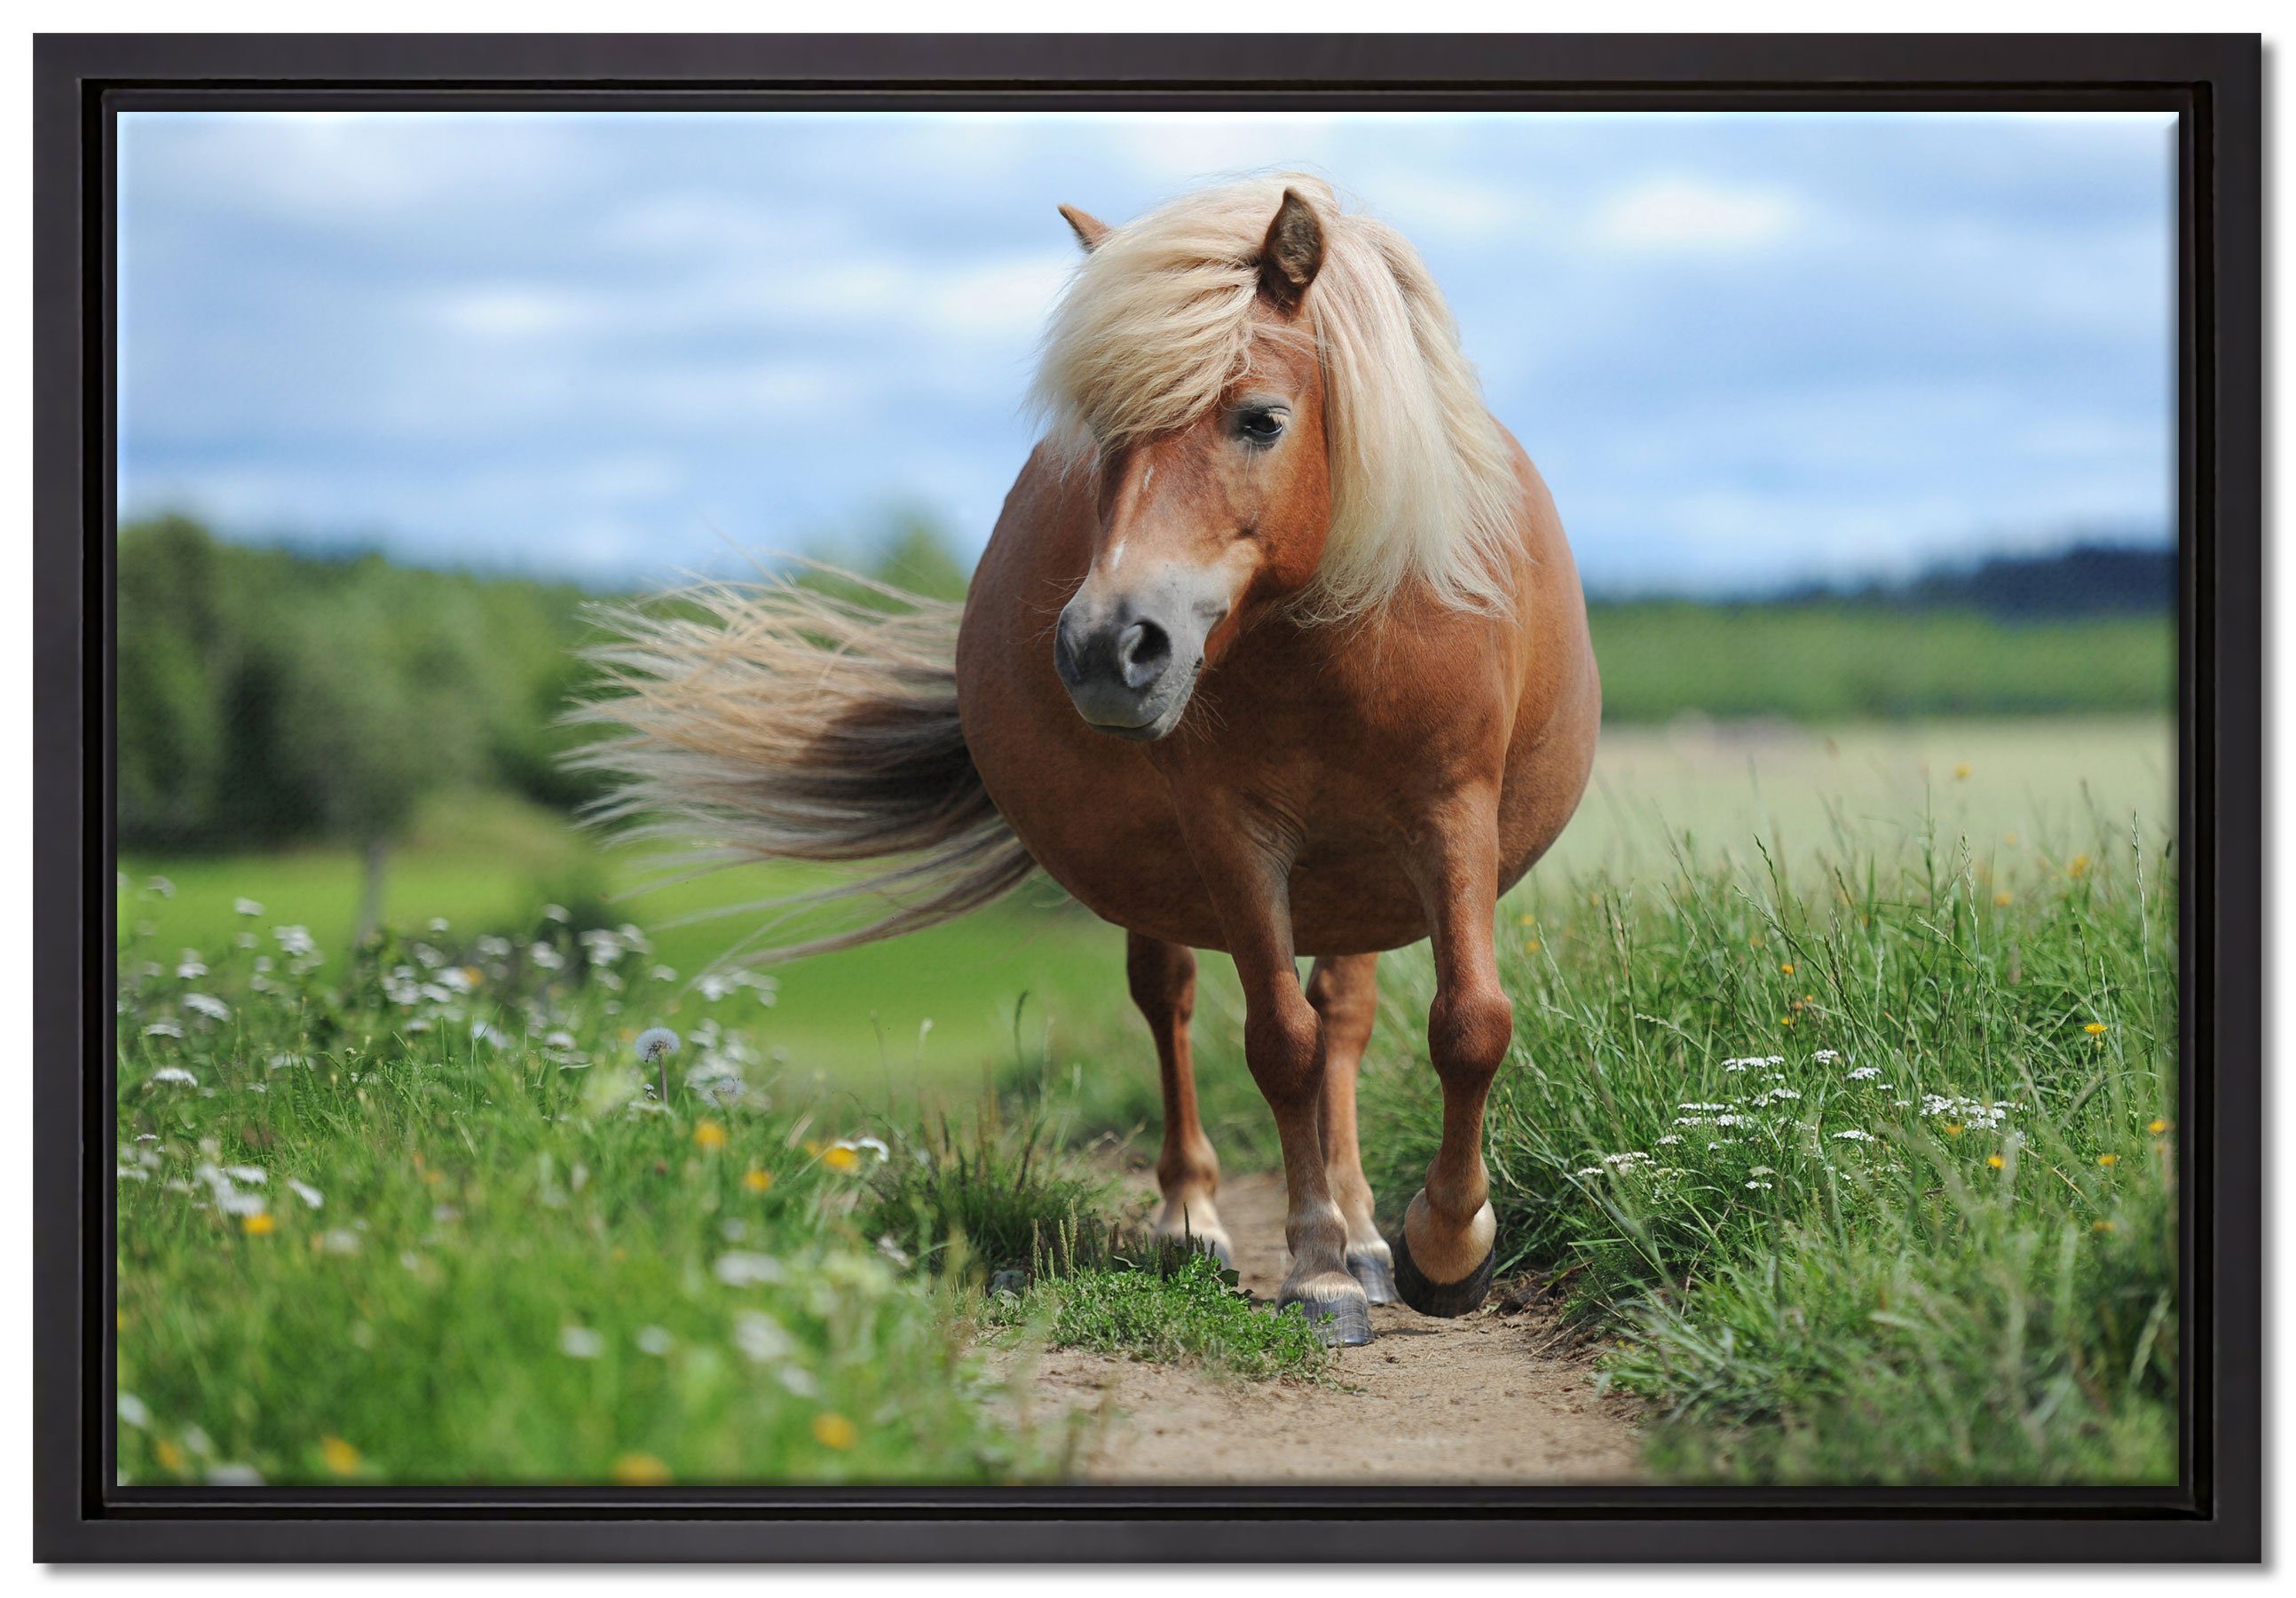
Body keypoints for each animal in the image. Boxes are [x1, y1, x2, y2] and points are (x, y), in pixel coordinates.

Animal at [583, 178, 1598, 1349]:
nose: (1110, 648)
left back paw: (1365, 1234)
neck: (1332, 639)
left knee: (1346, 1015)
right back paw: (1200, 1224)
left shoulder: (1450, 815)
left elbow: (1467, 1024)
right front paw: (1315, 1271)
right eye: (1105, 437)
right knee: (1174, 1003)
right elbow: (1279, 1043)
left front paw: (1443, 1247)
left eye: (1260, 418)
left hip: (1359, 877)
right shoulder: (1233, 837)